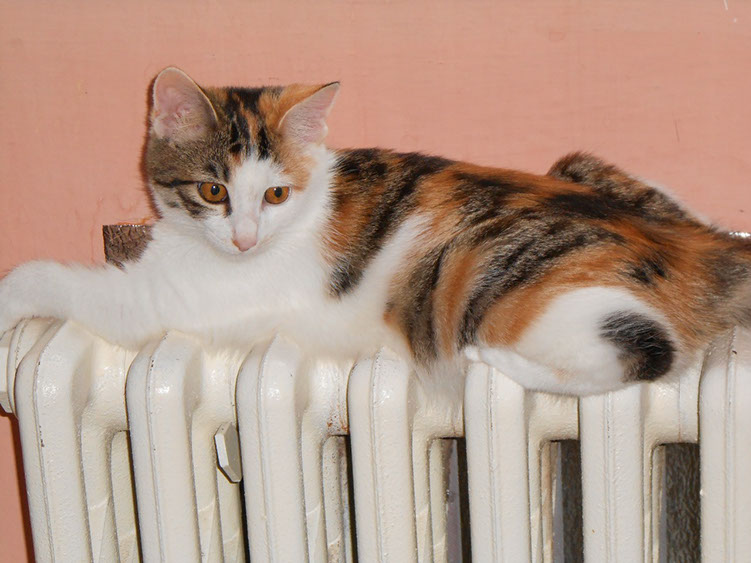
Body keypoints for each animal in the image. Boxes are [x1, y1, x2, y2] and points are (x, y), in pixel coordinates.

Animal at [1, 66, 749, 396]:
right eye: (214, 191)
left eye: (274, 193)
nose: (244, 239)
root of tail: (703, 249)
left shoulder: (159, 301)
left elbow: (58, 279)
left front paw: (10, 294)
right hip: (580, 162)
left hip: (496, 285)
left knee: (643, 351)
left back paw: (487, 361)